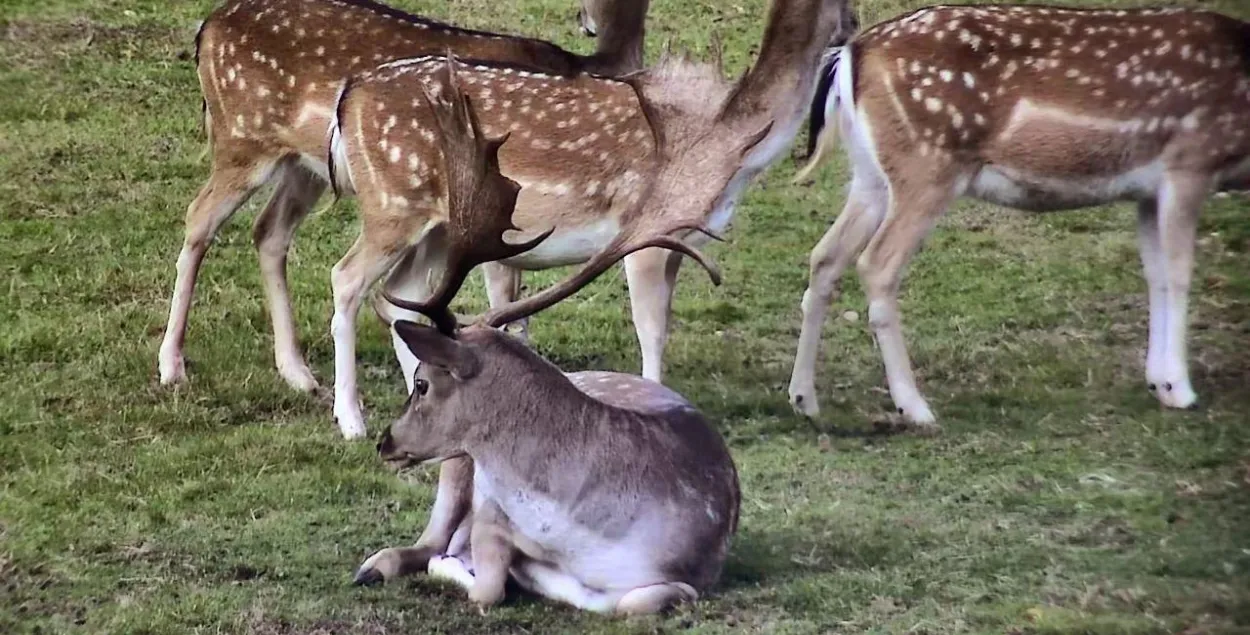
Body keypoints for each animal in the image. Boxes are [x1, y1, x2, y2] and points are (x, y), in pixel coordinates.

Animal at [156, 0, 650, 395]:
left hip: (304, 166)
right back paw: (171, 367)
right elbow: (504, 300)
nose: (585, 20)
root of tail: (207, 27)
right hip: (243, 138)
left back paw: (298, 374)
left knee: (269, 232)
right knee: (199, 218)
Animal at [327, 0, 865, 440]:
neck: (731, 145)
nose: (853, 26)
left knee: (401, 293)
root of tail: (349, 95)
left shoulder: (684, 240)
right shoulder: (645, 231)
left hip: (437, 227)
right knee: (347, 278)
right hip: (393, 206)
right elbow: (651, 329)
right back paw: (351, 420)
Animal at [347, 60, 735, 615]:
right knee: (423, 541)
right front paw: (471, 566)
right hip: (457, 461)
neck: (583, 534)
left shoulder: (690, 575)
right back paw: (375, 566)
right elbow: (481, 575)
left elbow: (630, 600)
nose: (387, 441)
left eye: (422, 383)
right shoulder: (491, 511)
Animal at [790, 3, 1250, 432]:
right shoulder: (1190, 161)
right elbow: (1179, 274)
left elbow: (1155, 276)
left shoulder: (1147, 191)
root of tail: (851, 53)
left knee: (825, 256)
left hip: (870, 177)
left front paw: (1159, 383)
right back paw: (915, 407)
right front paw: (1180, 389)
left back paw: (804, 398)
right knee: (877, 263)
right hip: (927, 165)